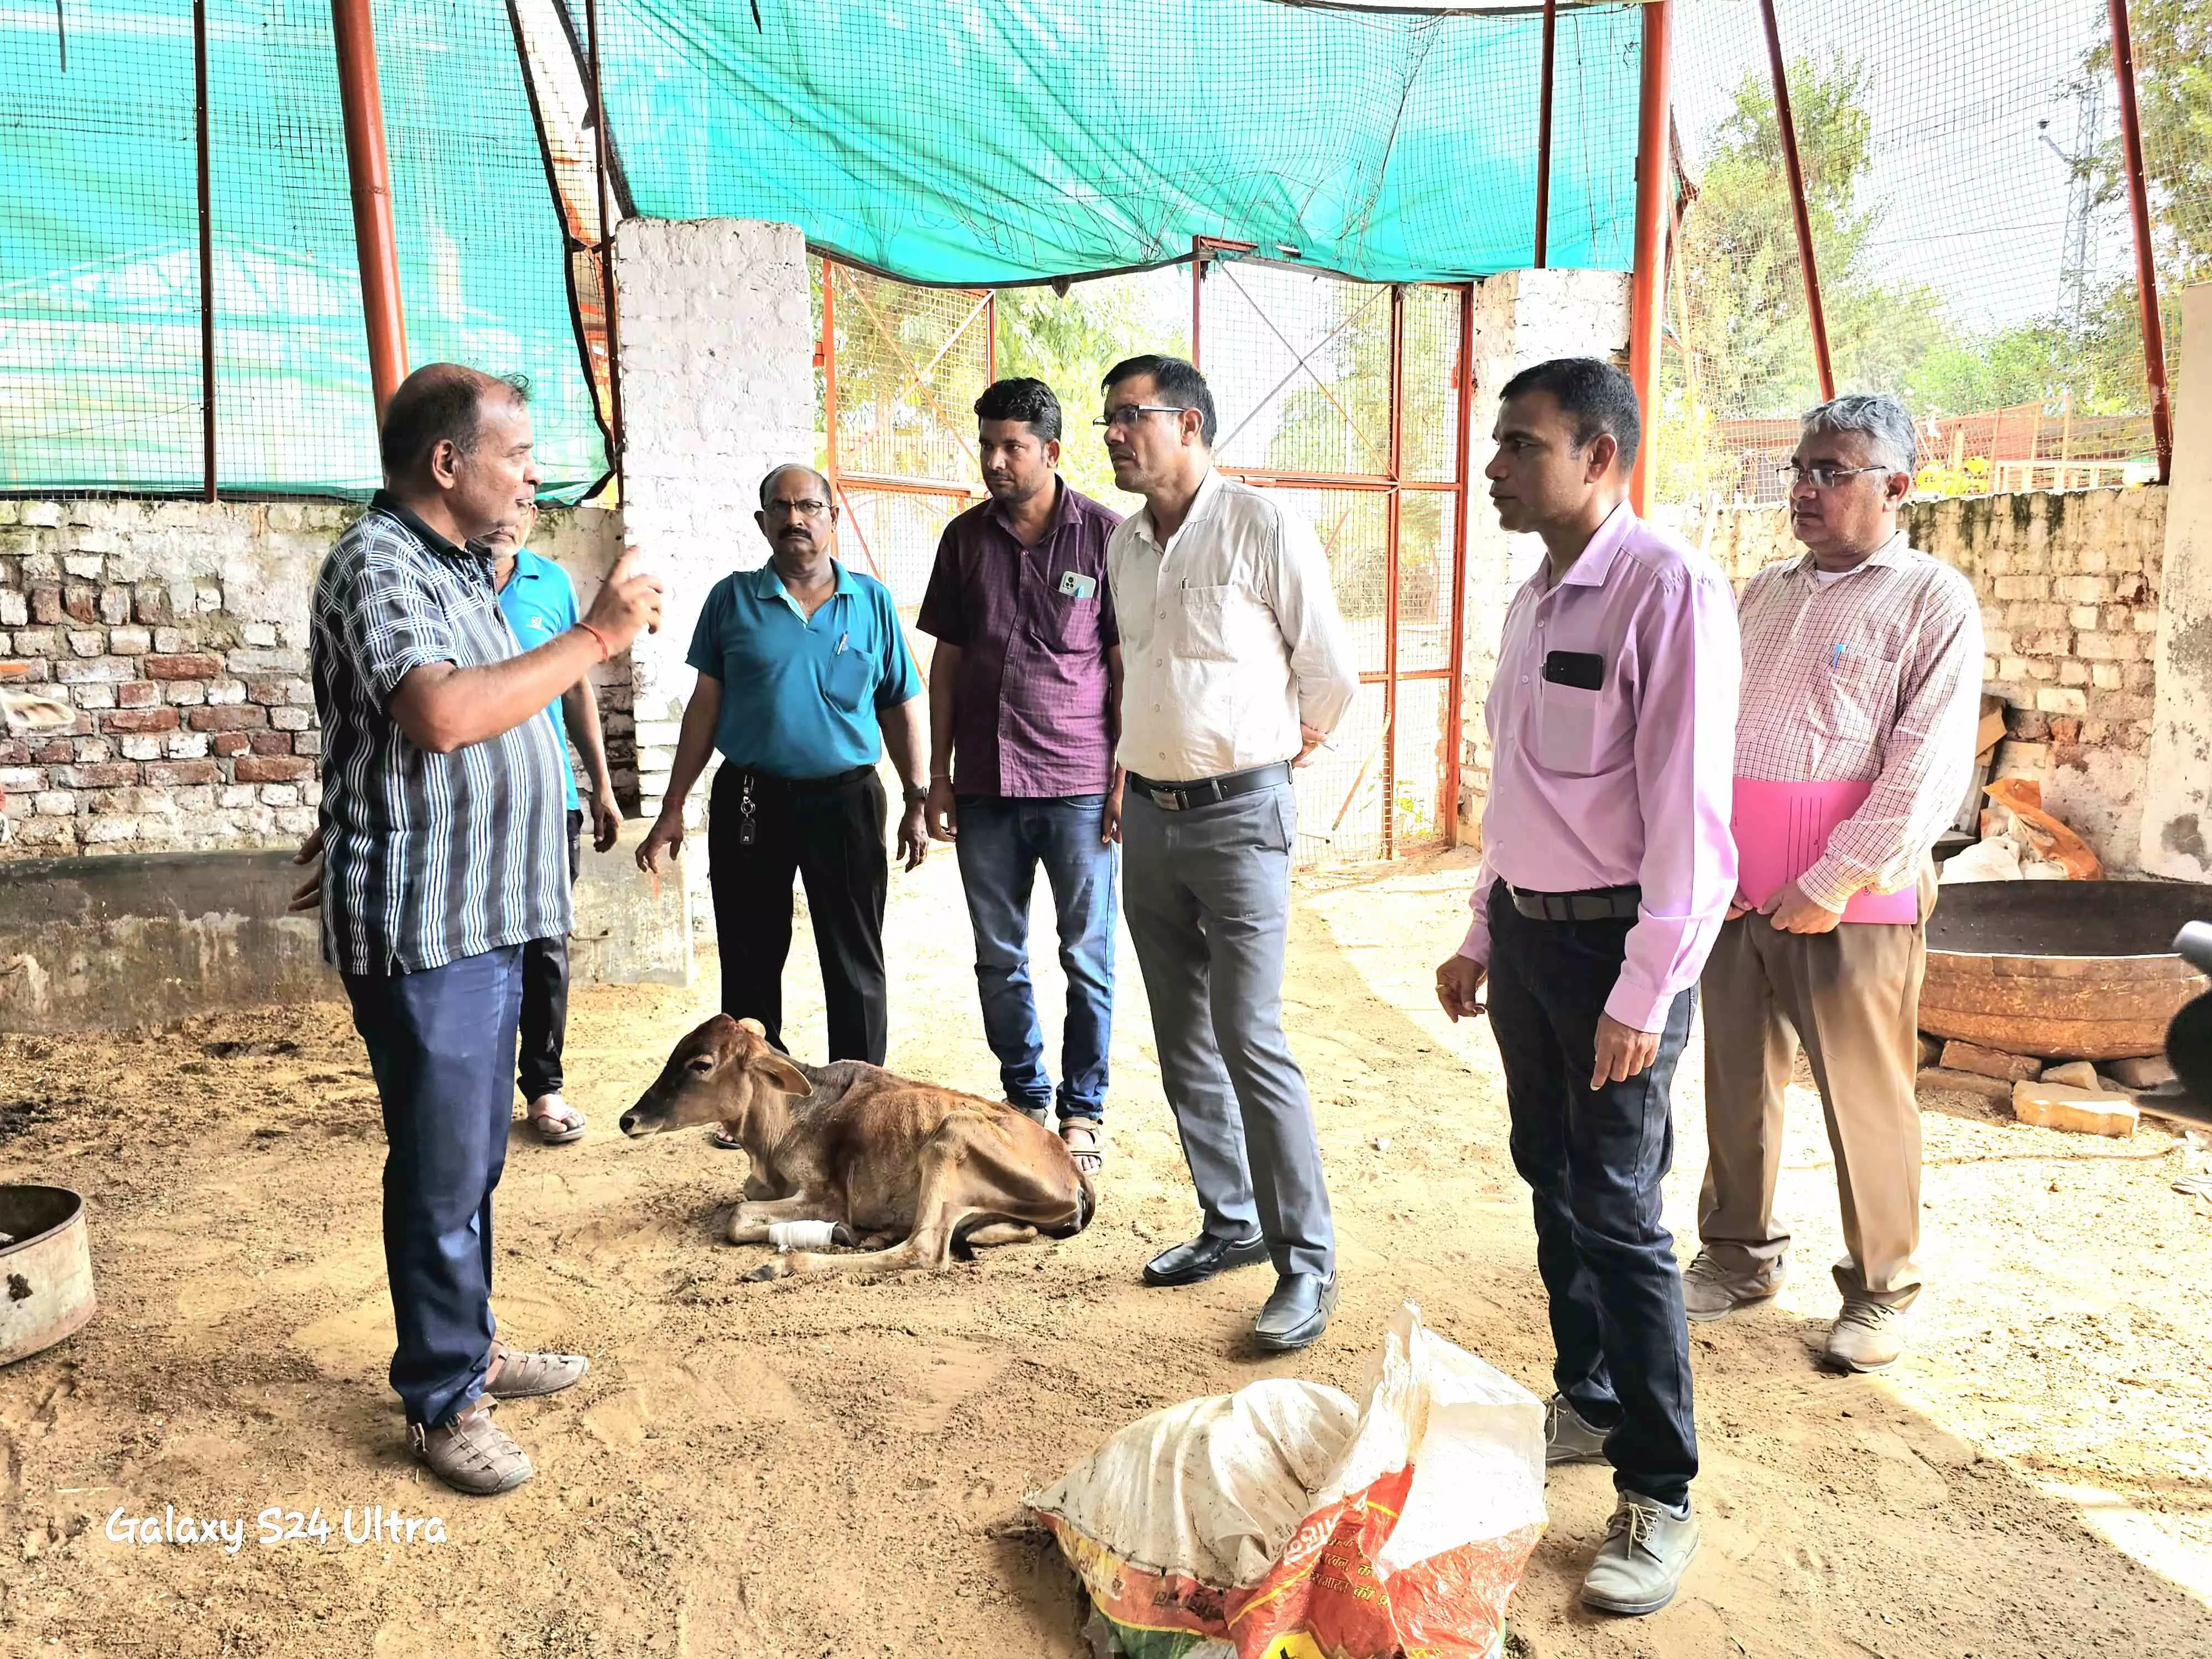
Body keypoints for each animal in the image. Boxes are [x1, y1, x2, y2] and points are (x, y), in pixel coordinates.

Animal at [615, 1022, 1097, 1283]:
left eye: (702, 1064)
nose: (628, 1120)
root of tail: (1074, 1173)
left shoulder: (826, 1197)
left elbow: (737, 1216)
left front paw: (834, 1233)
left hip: (952, 1134)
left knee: (923, 1249)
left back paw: (788, 1263)